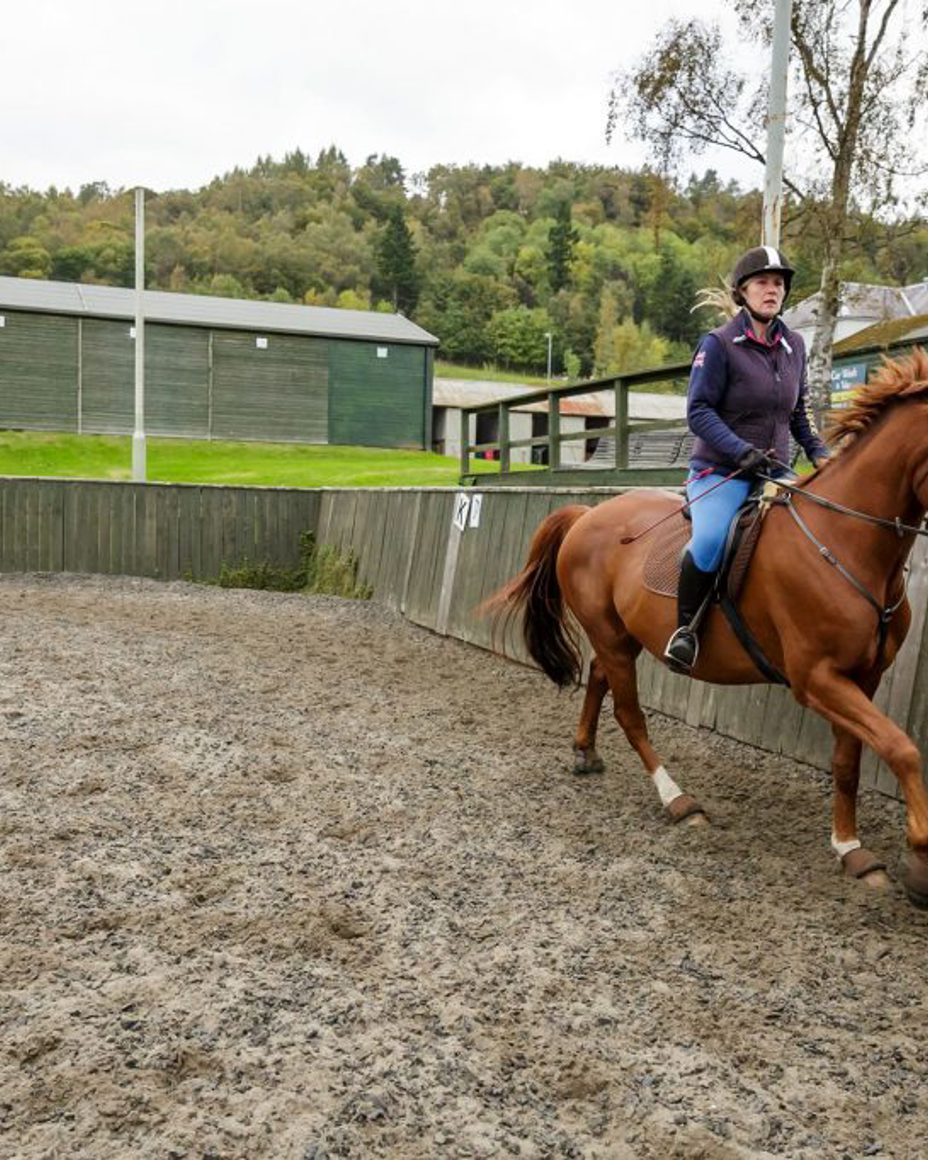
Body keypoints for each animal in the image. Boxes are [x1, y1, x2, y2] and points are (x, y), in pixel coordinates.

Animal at [482, 348, 928, 909]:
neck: (845, 541)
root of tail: (588, 514)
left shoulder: (861, 678)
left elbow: (850, 761)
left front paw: (851, 849)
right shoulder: (816, 679)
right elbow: (902, 748)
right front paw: (919, 860)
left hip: (621, 636)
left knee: (599, 677)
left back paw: (585, 751)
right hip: (611, 635)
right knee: (629, 713)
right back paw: (677, 800)